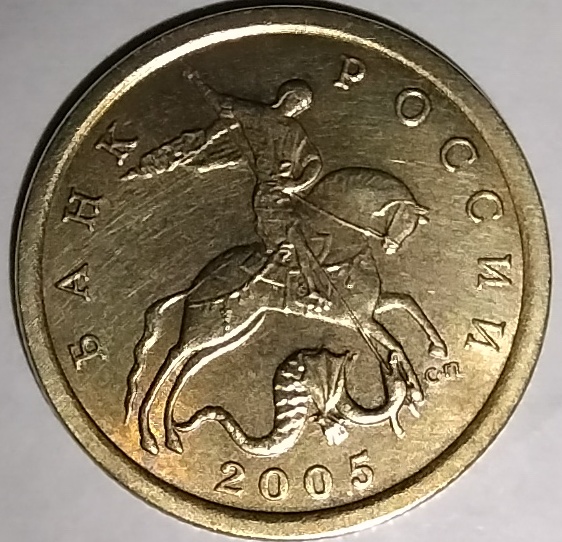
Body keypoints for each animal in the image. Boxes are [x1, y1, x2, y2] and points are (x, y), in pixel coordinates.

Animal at [125, 167, 448, 455]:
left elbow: (407, 303)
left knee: (189, 367)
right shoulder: (360, 318)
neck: (344, 246)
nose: (392, 246)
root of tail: (197, 283)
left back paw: (170, 435)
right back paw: (150, 436)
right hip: (209, 326)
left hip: (236, 329)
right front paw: (414, 389)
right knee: (172, 358)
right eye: (406, 219)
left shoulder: (368, 309)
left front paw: (436, 349)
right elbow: (396, 342)